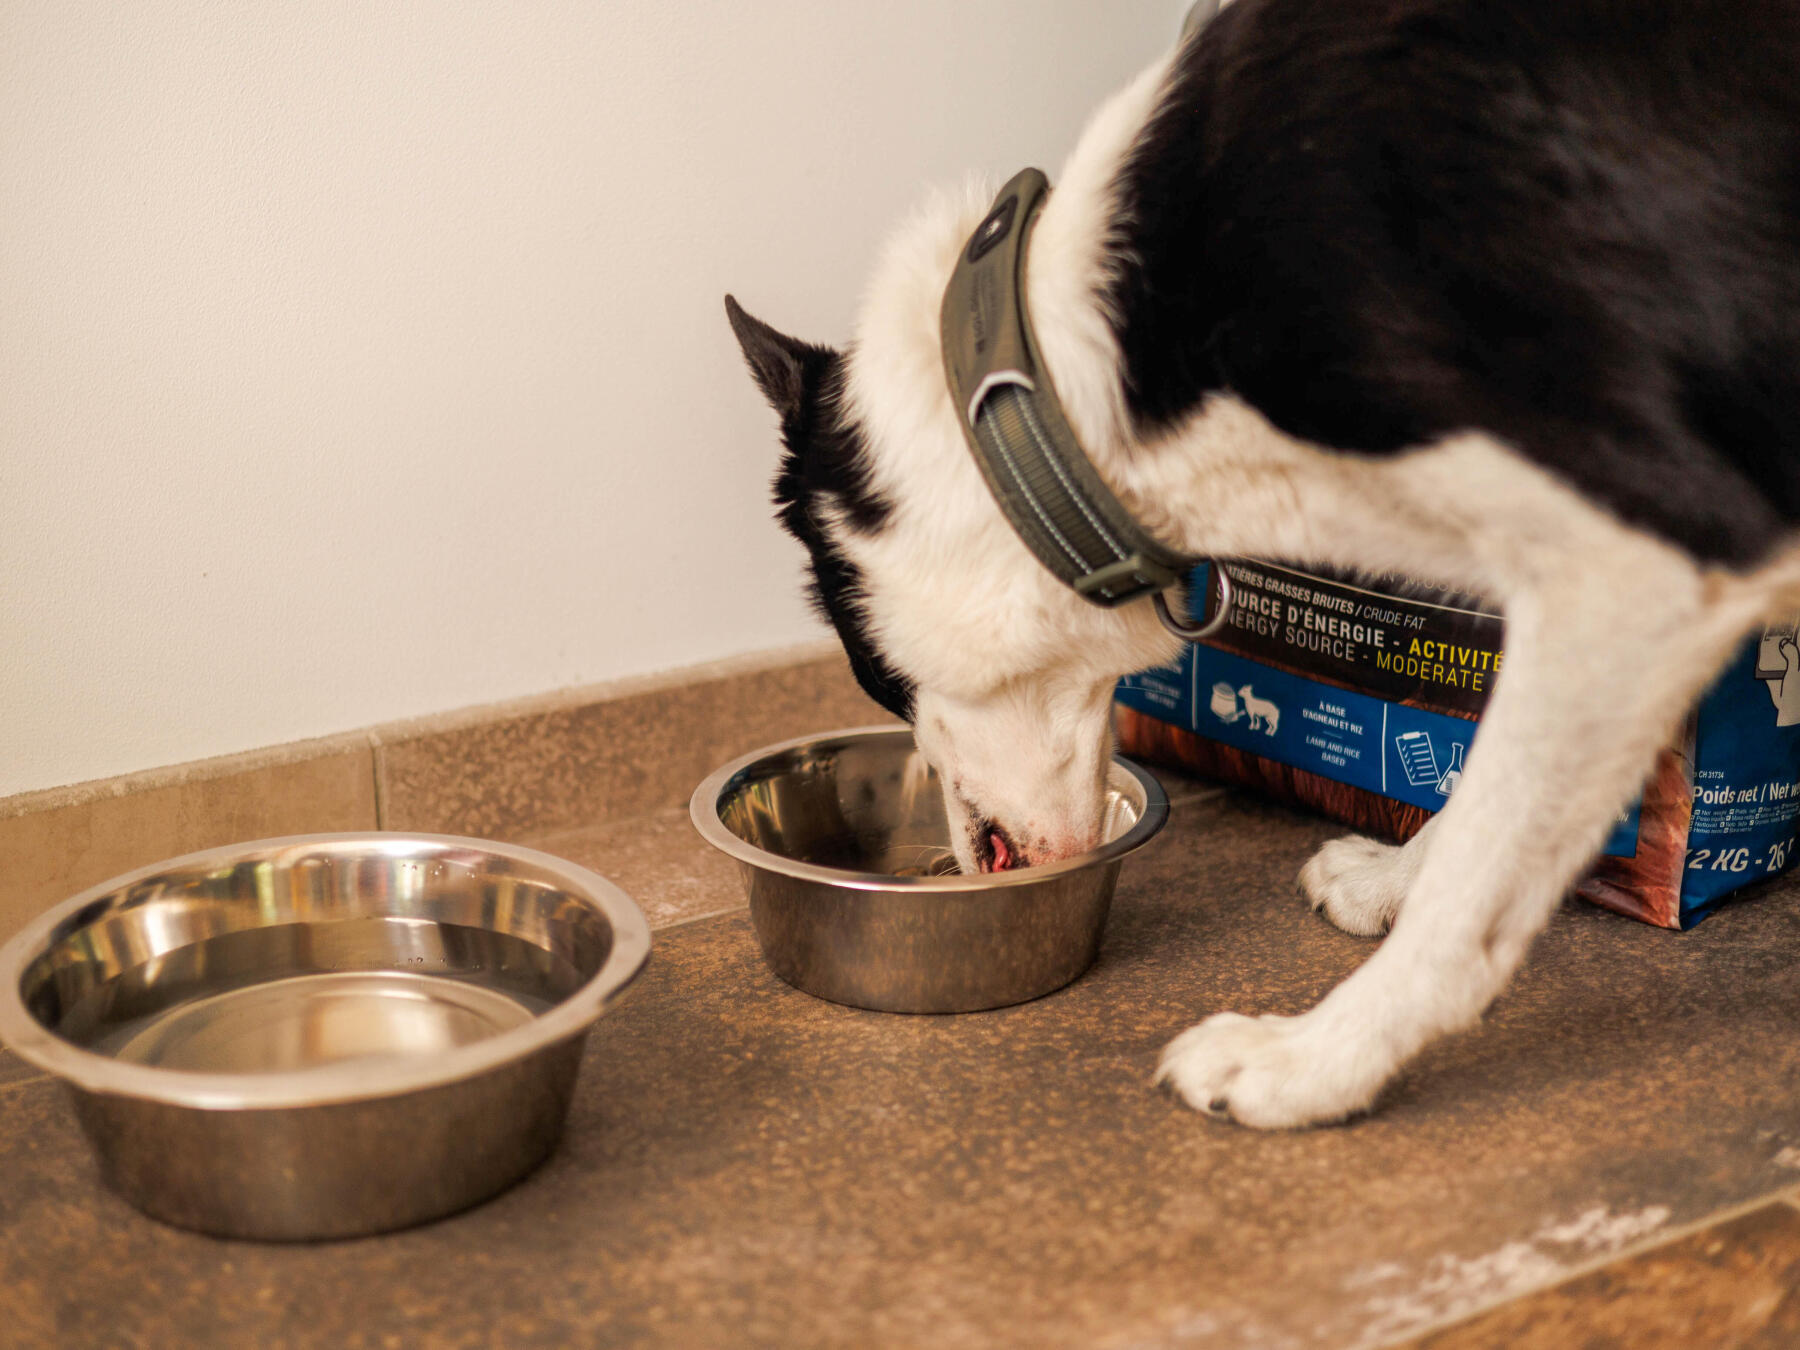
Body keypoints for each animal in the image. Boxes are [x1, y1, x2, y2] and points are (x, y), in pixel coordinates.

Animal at [720, 0, 1800, 1130]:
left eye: (863, 662)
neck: (1066, 389)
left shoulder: (1645, 564)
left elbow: (1479, 884)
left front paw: (1313, 1062)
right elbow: (1478, 812)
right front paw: (1394, 880)